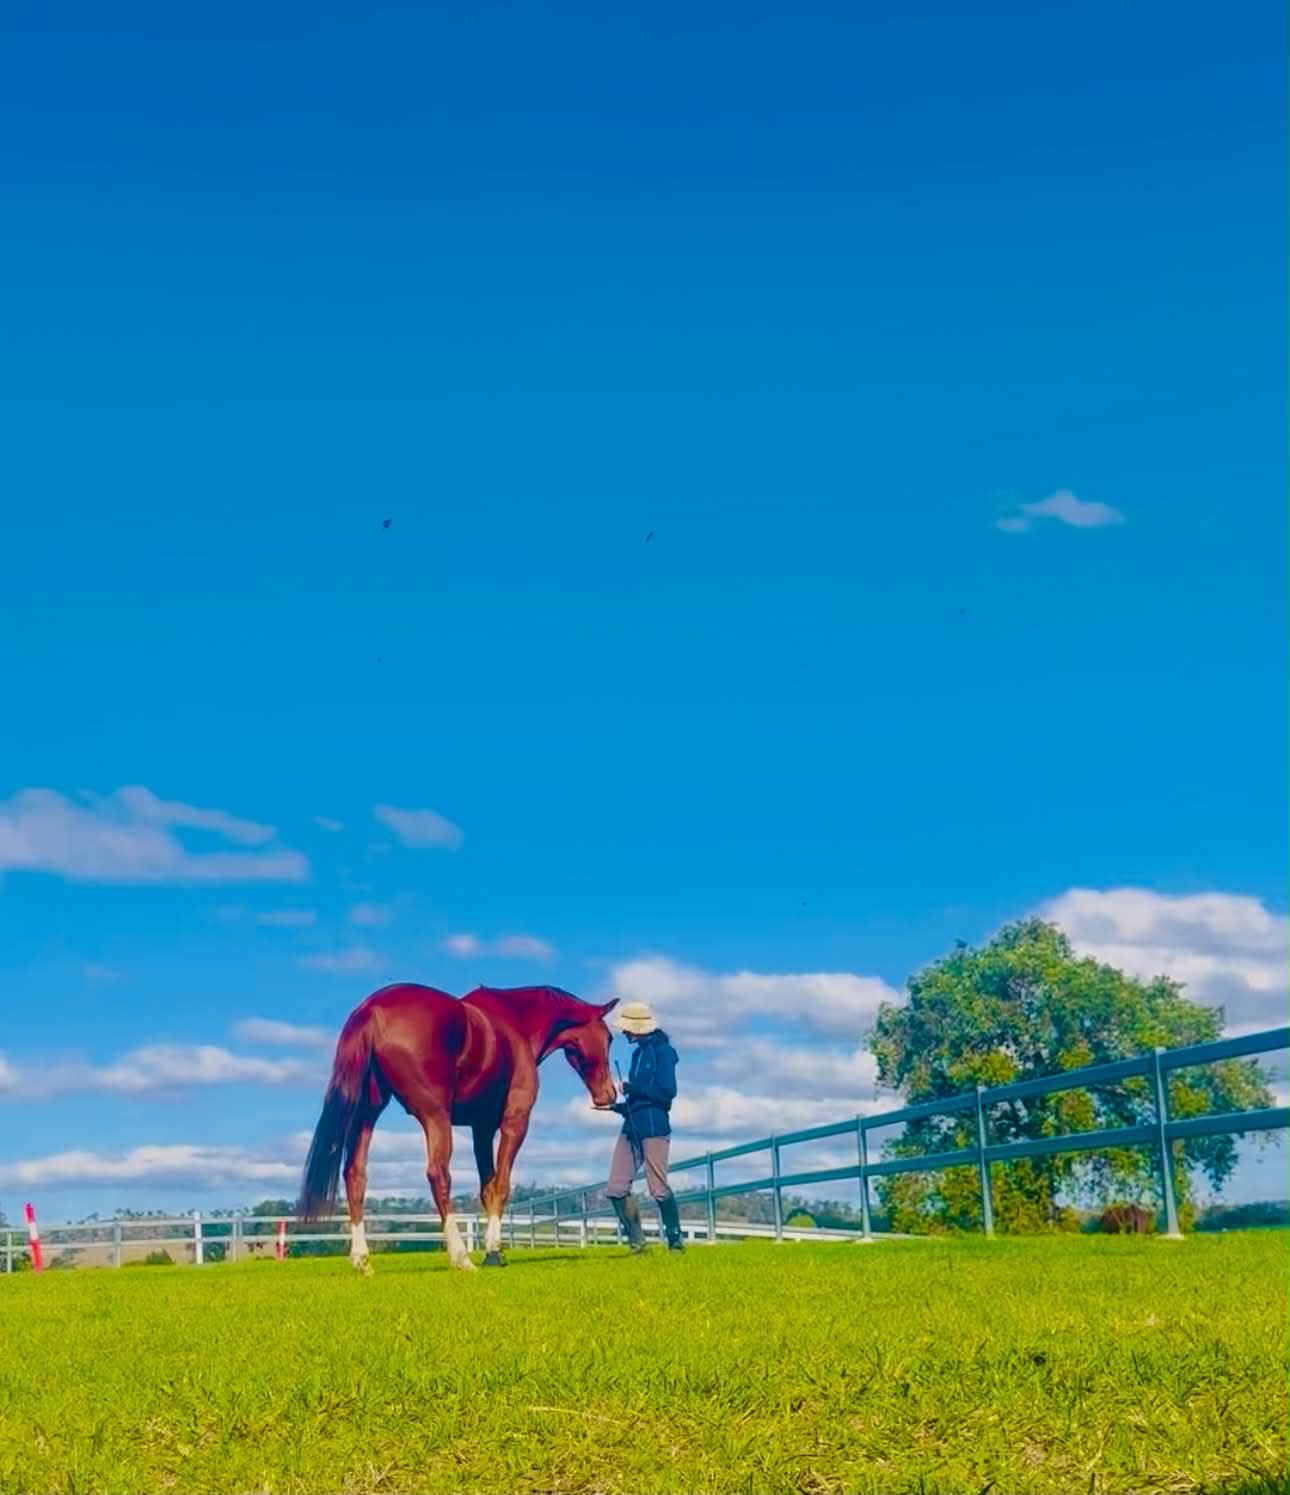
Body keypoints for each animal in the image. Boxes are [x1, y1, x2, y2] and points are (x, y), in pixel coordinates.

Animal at [297, 983, 619, 1272]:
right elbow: (501, 1185)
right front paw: (493, 1251)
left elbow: (487, 1187)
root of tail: (372, 1010)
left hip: (366, 1114)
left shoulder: (481, 1128)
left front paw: (495, 1251)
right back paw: (460, 1257)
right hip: (435, 1115)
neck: (516, 1025)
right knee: (438, 1174)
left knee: (355, 1175)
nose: (609, 1094)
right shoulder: (514, 1121)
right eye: (609, 1037)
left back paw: (362, 1260)